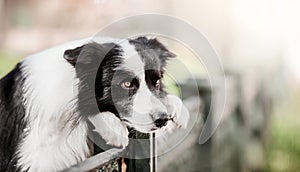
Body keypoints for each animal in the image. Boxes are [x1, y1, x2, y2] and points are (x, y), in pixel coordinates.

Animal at [0, 35, 189, 171]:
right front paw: (112, 127)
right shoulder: (40, 159)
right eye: (126, 84)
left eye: (156, 82)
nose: (162, 120)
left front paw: (176, 106)